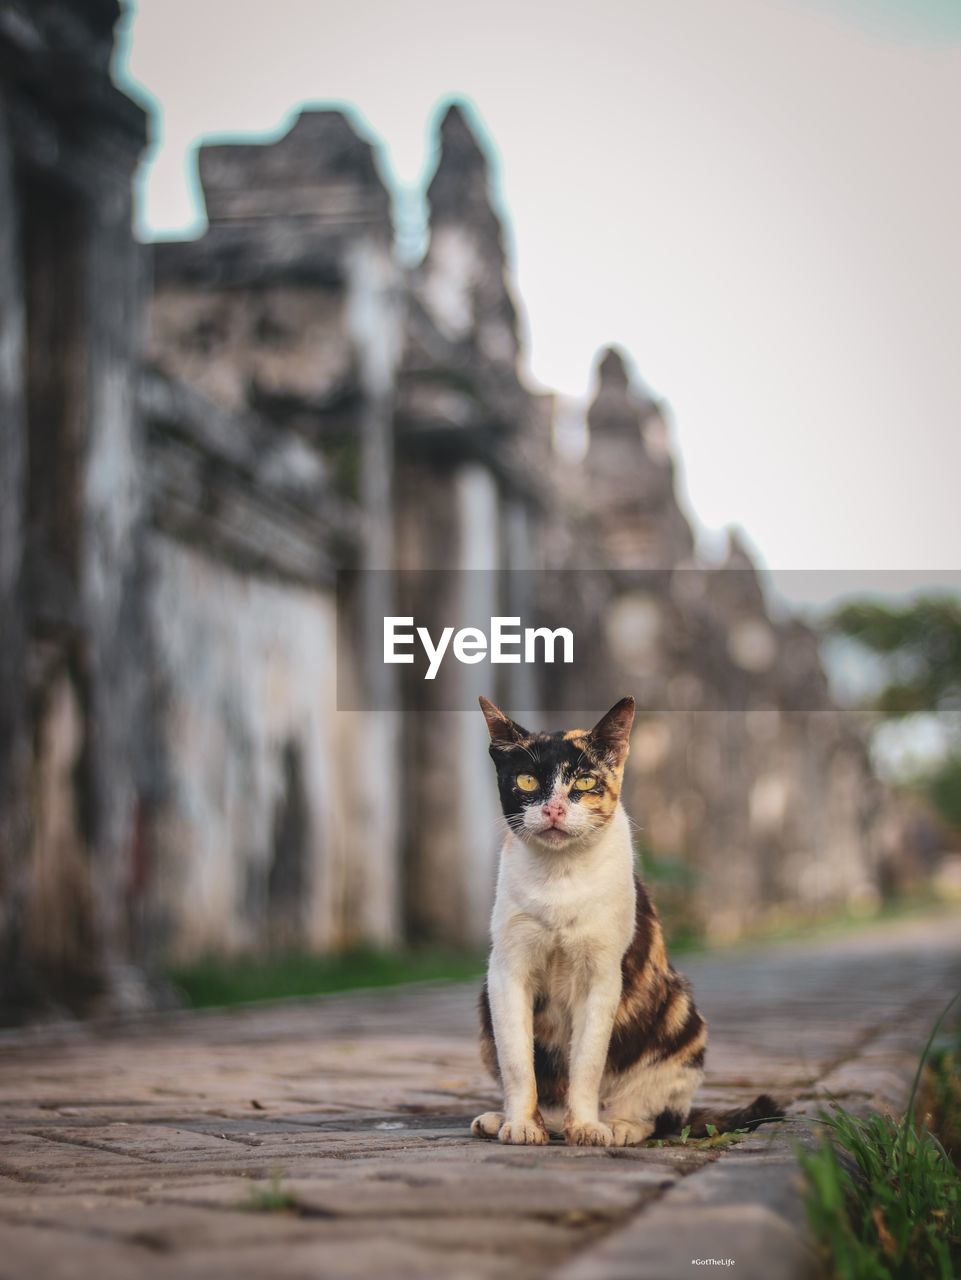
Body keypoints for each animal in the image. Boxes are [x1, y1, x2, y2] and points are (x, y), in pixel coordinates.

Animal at [473, 701, 783, 1152]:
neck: (561, 876)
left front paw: (587, 1127)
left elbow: (587, 1061)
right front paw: (522, 1124)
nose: (554, 809)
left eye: (585, 780)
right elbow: (516, 1060)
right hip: (485, 1006)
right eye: (527, 780)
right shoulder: (506, 971)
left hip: (681, 1014)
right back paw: (511, 1120)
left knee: (659, 1118)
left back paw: (617, 1125)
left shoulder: (603, 975)